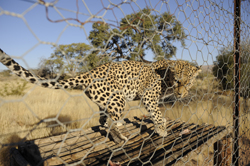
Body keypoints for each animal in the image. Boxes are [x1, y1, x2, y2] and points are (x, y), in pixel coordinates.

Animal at [0, 48, 201, 143]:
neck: (166, 76)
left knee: (103, 121)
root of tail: (89, 73)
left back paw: (116, 131)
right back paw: (121, 137)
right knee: (111, 121)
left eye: (189, 83)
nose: (181, 93)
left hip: (105, 101)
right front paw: (161, 129)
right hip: (118, 98)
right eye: (178, 81)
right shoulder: (149, 97)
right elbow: (157, 113)